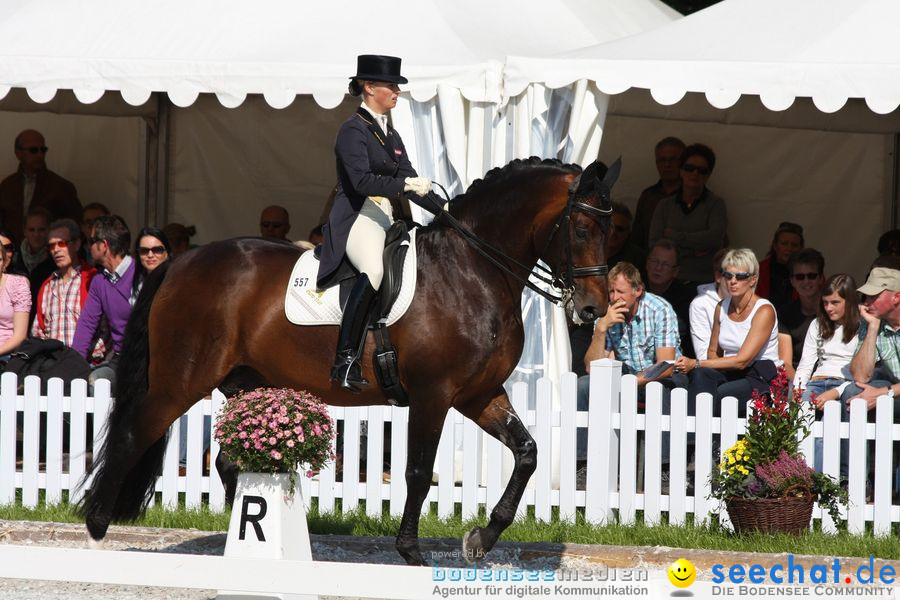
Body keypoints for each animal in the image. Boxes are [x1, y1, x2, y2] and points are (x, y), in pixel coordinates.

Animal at [77, 156, 616, 568]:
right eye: (581, 227)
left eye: (612, 228)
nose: (593, 310)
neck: (471, 270)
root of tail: (180, 261)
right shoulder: (434, 395)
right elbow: (418, 472)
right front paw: (411, 552)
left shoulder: (480, 395)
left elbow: (528, 453)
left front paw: (481, 540)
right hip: (179, 381)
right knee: (133, 434)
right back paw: (97, 527)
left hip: (245, 382)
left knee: (228, 460)